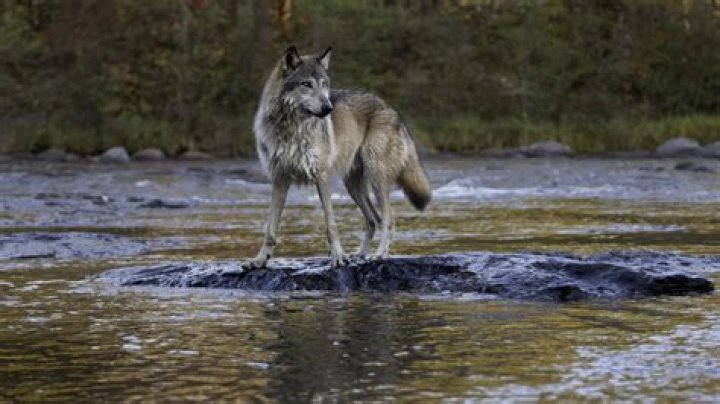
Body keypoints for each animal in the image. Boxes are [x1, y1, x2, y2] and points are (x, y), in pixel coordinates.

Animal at [247, 46, 431, 268]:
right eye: (306, 84)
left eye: (324, 84)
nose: (328, 108)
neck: (292, 129)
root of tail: (390, 108)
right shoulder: (279, 180)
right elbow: (270, 228)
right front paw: (260, 259)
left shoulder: (321, 177)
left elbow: (331, 225)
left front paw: (338, 257)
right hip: (352, 186)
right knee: (373, 220)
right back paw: (359, 254)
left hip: (376, 178)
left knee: (389, 220)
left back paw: (380, 254)